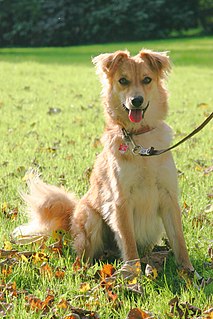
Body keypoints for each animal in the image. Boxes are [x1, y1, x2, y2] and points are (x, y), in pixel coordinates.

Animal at [12, 49, 193, 272]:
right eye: (123, 80)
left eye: (147, 79)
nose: (137, 100)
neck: (140, 140)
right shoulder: (120, 201)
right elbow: (129, 242)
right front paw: (132, 273)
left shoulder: (169, 197)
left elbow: (179, 240)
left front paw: (190, 272)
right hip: (91, 218)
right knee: (83, 256)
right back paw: (86, 270)